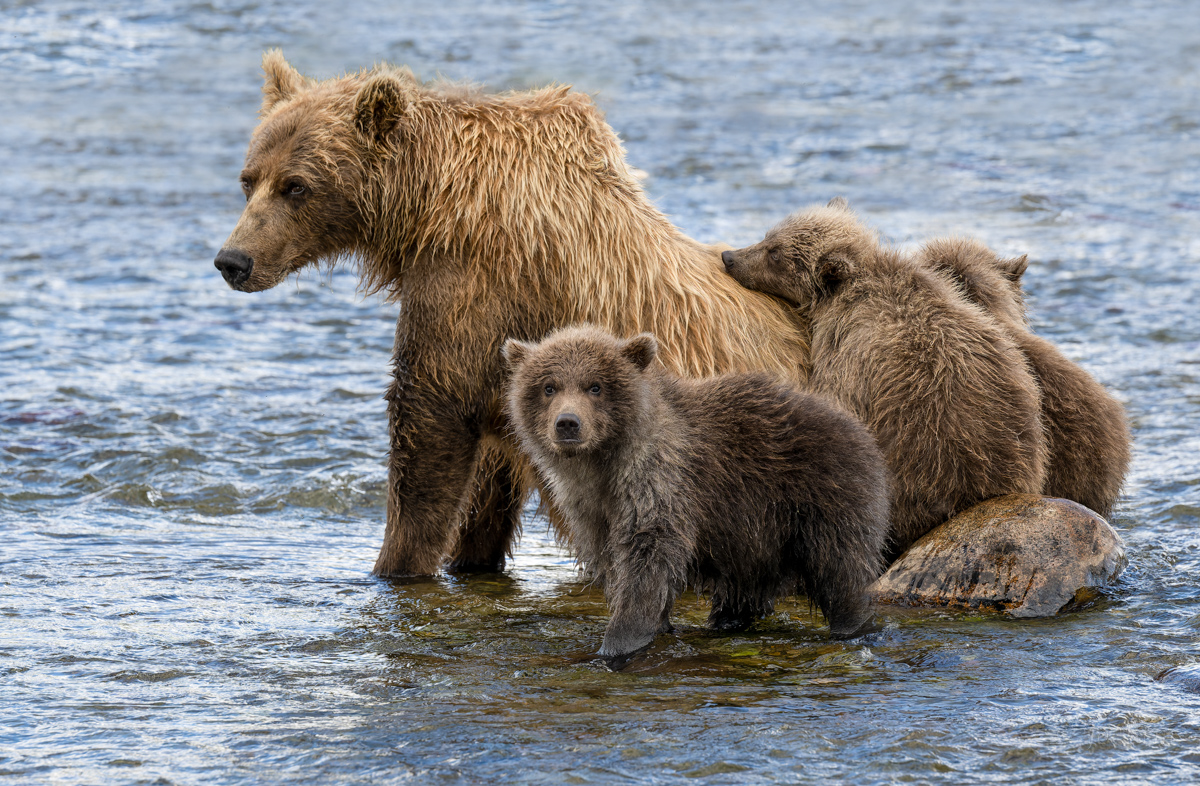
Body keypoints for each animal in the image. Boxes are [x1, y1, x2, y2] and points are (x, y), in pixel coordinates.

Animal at [214, 52, 812, 577]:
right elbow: (489, 471)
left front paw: (393, 565)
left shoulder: (475, 281)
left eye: (296, 186)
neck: (426, 208)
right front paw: (467, 555)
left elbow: (429, 418)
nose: (233, 260)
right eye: (247, 179)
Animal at [502, 325, 890, 666]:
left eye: (595, 386)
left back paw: (852, 624)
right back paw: (728, 623)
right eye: (549, 387)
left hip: (819, 495)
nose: (568, 423)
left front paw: (618, 642)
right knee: (742, 587)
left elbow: (647, 558)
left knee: (840, 572)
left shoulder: (661, 479)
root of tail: (856, 425)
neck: (604, 464)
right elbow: (613, 561)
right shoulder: (590, 507)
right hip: (752, 535)